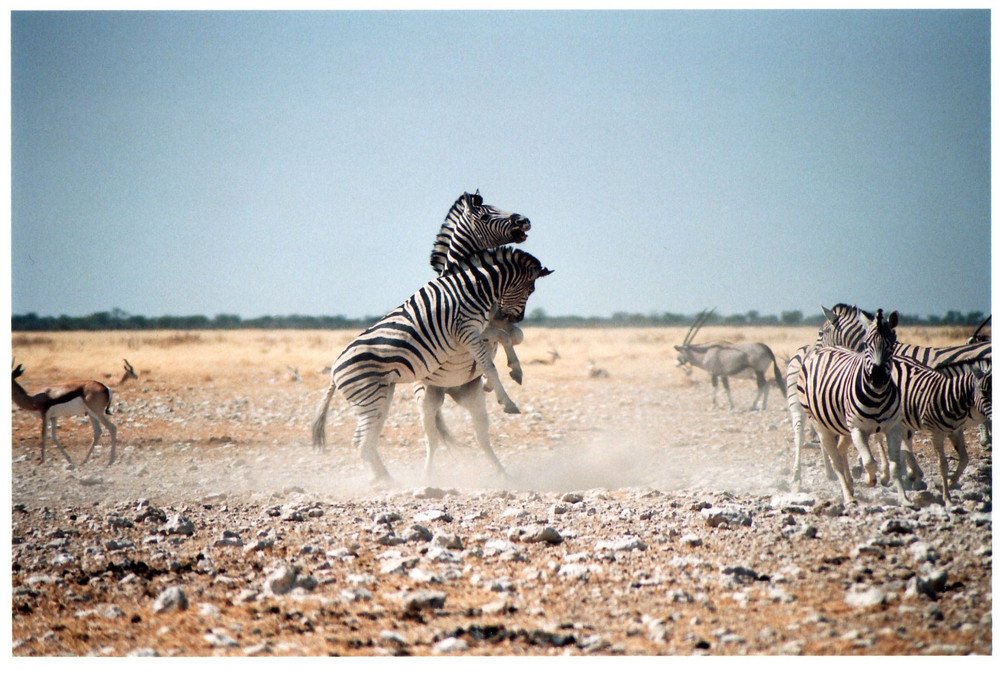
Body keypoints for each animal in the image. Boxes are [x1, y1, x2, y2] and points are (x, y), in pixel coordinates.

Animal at [310, 247, 552, 484]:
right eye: (530, 289)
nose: (515, 318)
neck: (472, 289)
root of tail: (333, 372)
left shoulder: (476, 331)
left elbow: (505, 337)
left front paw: (515, 370)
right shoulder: (466, 332)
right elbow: (490, 364)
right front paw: (507, 401)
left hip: (379, 399)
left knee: (368, 440)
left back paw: (387, 478)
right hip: (370, 397)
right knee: (360, 441)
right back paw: (383, 482)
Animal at [796, 310, 908, 504]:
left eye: (892, 344)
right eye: (866, 344)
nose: (878, 378)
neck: (877, 397)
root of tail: (826, 349)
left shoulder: (893, 427)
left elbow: (895, 466)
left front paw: (904, 498)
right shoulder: (857, 429)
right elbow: (869, 462)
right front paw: (870, 480)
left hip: (843, 427)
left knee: (841, 450)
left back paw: (850, 484)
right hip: (821, 425)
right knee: (836, 461)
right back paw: (848, 497)